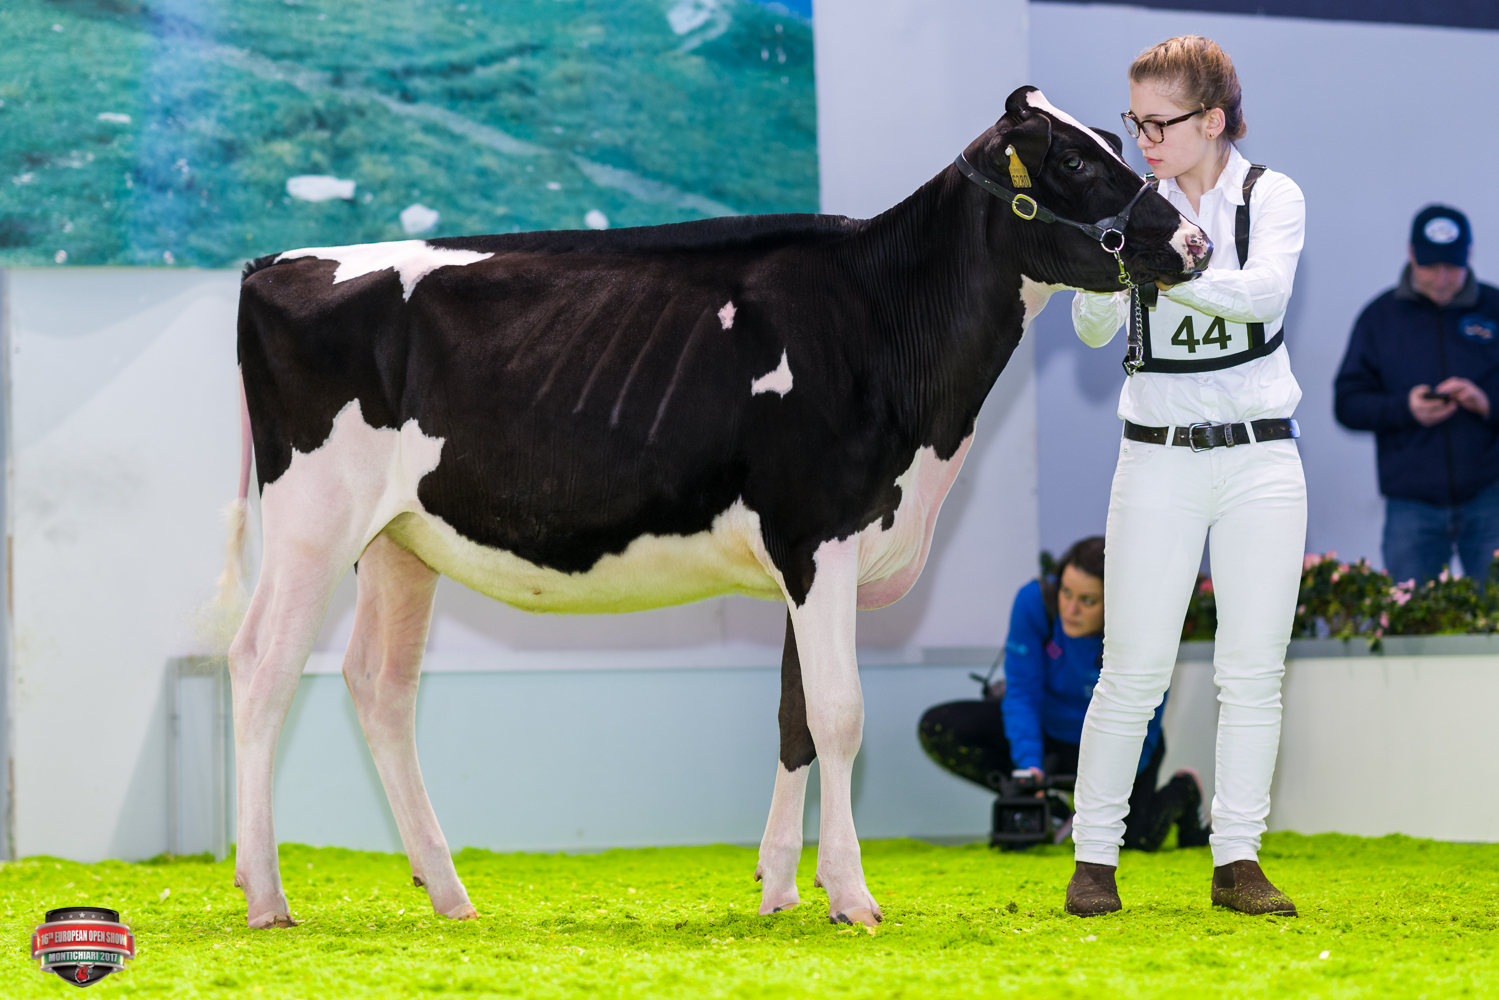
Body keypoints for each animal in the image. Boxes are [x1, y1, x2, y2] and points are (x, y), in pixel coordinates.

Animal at [223, 86, 1210, 931]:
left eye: (1116, 144)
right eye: (1073, 162)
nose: (1196, 242)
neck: (884, 325)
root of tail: (277, 262)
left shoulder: (808, 559)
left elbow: (794, 718)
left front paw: (780, 889)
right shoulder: (818, 534)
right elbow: (840, 714)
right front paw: (852, 896)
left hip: (399, 540)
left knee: (379, 685)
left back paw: (447, 891)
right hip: (312, 518)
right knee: (262, 665)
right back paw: (265, 893)